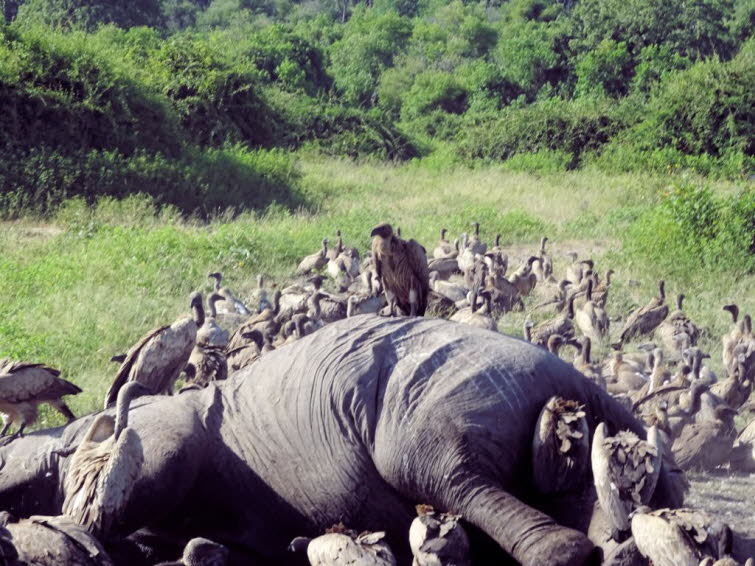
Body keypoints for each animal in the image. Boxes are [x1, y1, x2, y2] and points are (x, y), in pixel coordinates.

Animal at [0, 315, 683, 566]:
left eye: (94, 444)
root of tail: (571, 386)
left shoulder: (169, 424)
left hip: (443, 392)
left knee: (432, 468)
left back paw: (566, 553)